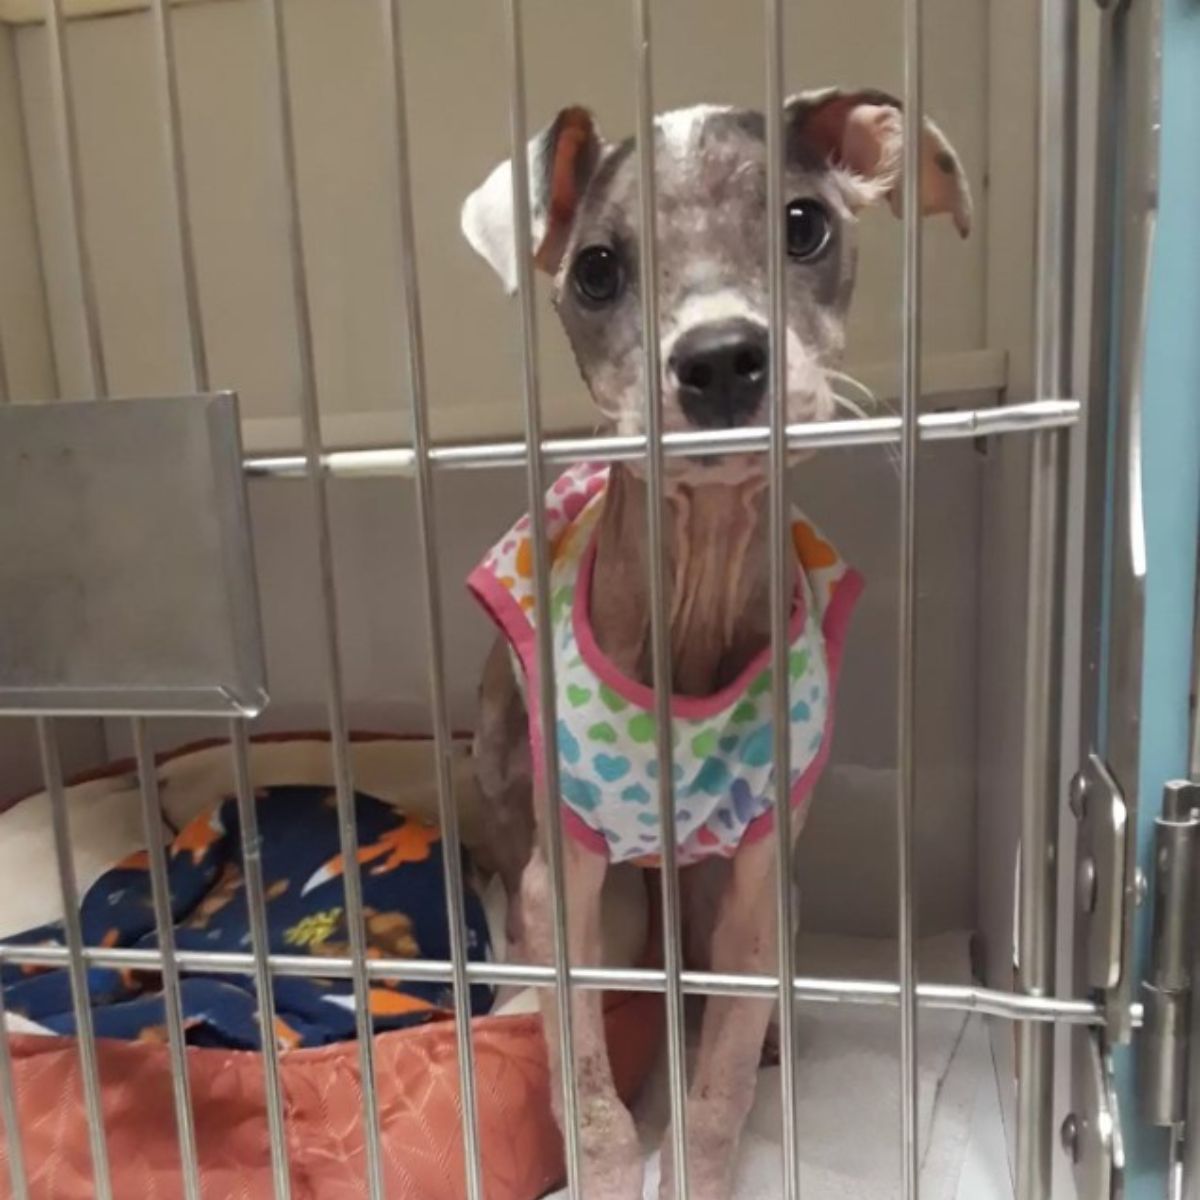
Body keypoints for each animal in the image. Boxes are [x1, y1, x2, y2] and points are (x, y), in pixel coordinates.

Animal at [463, 88, 969, 1195]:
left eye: (803, 224)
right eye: (597, 267)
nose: (722, 359)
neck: (691, 583)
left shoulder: (751, 894)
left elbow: (717, 1088)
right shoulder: (566, 891)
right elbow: (589, 1090)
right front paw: (608, 1169)